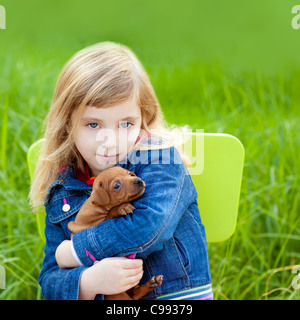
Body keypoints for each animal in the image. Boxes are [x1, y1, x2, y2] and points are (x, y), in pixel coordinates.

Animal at [67, 165, 163, 300]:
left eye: (130, 174)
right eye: (117, 185)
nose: (138, 180)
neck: (99, 208)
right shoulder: (93, 226)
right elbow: (110, 214)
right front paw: (122, 208)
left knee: (135, 293)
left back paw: (152, 283)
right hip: (116, 294)